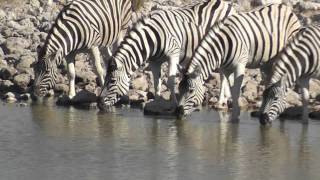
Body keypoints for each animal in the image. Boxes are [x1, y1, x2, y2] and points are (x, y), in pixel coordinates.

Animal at [97, 0, 235, 110]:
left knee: (223, 75)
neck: (151, 38)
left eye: (112, 81)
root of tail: (226, 4)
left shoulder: (173, 54)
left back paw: (220, 101)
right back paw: (226, 98)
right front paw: (157, 103)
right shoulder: (154, 61)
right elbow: (156, 83)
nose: (99, 104)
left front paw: (174, 104)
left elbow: (170, 81)